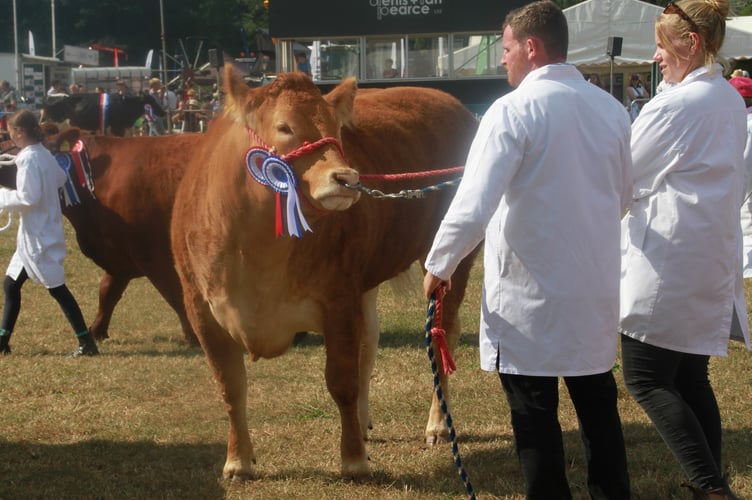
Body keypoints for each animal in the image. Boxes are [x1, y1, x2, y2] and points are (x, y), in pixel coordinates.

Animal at [172, 68, 476, 478]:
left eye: (337, 128)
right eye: (284, 126)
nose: (347, 177)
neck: (254, 251)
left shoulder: (338, 299)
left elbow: (341, 381)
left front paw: (353, 460)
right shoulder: (200, 309)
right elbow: (230, 387)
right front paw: (238, 461)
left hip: (453, 258)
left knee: (441, 333)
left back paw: (438, 424)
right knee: (372, 339)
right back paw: (364, 422)